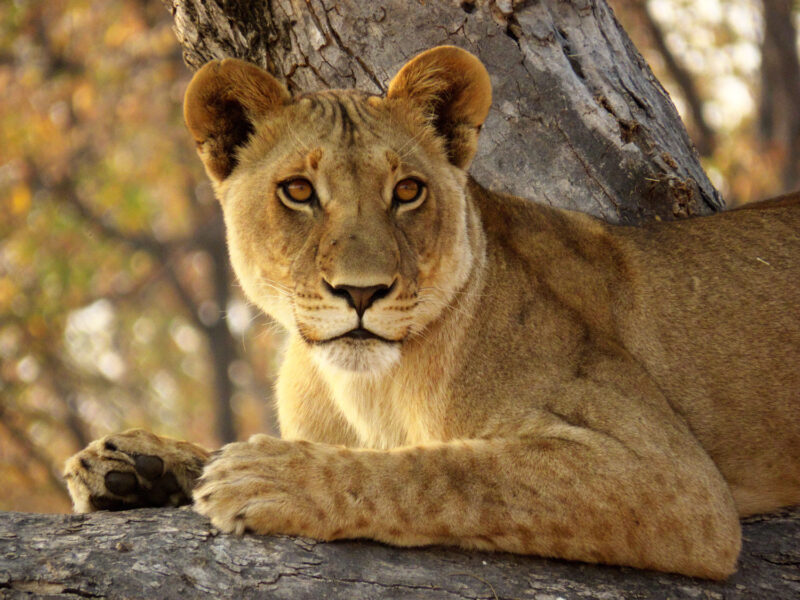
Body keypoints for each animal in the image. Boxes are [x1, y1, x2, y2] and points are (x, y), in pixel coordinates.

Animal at [64, 44, 800, 580]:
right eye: (298, 191)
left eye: (408, 191)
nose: (361, 293)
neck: (366, 388)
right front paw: (135, 465)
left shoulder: (670, 477)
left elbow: (449, 470)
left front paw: (270, 474)